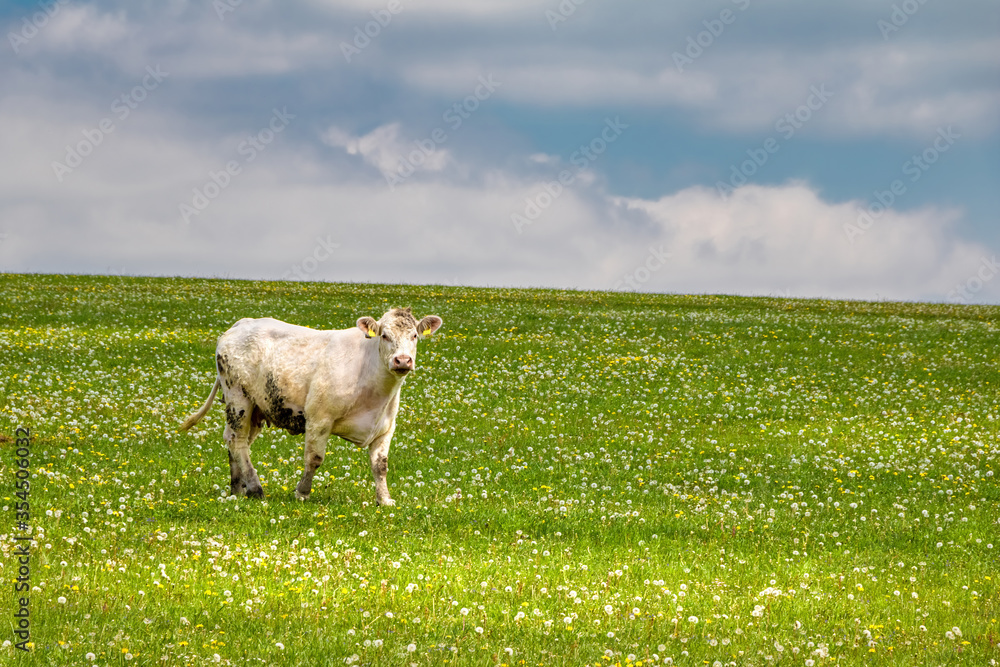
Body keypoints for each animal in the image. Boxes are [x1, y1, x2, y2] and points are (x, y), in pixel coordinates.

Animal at [179, 307, 442, 505]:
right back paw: (255, 488)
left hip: (256, 407)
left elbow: (381, 465)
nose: (403, 360)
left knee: (233, 440)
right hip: (238, 397)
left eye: (415, 336)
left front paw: (384, 499)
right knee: (238, 441)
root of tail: (242, 323)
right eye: (384, 335)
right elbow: (314, 458)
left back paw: (237, 488)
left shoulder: (385, 428)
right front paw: (302, 492)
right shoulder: (319, 418)